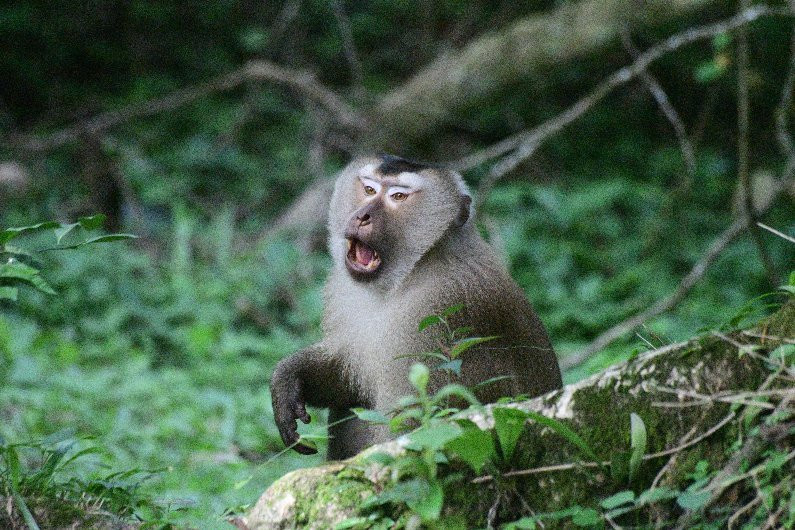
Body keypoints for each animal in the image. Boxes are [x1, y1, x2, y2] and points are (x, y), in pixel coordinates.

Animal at [270, 154, 564, 458]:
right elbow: (346, 380)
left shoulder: (434, 313)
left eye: (398, 196)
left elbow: (415, 429)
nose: (362, 216)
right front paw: (289, 379)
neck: (409, 272)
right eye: (369, 190)